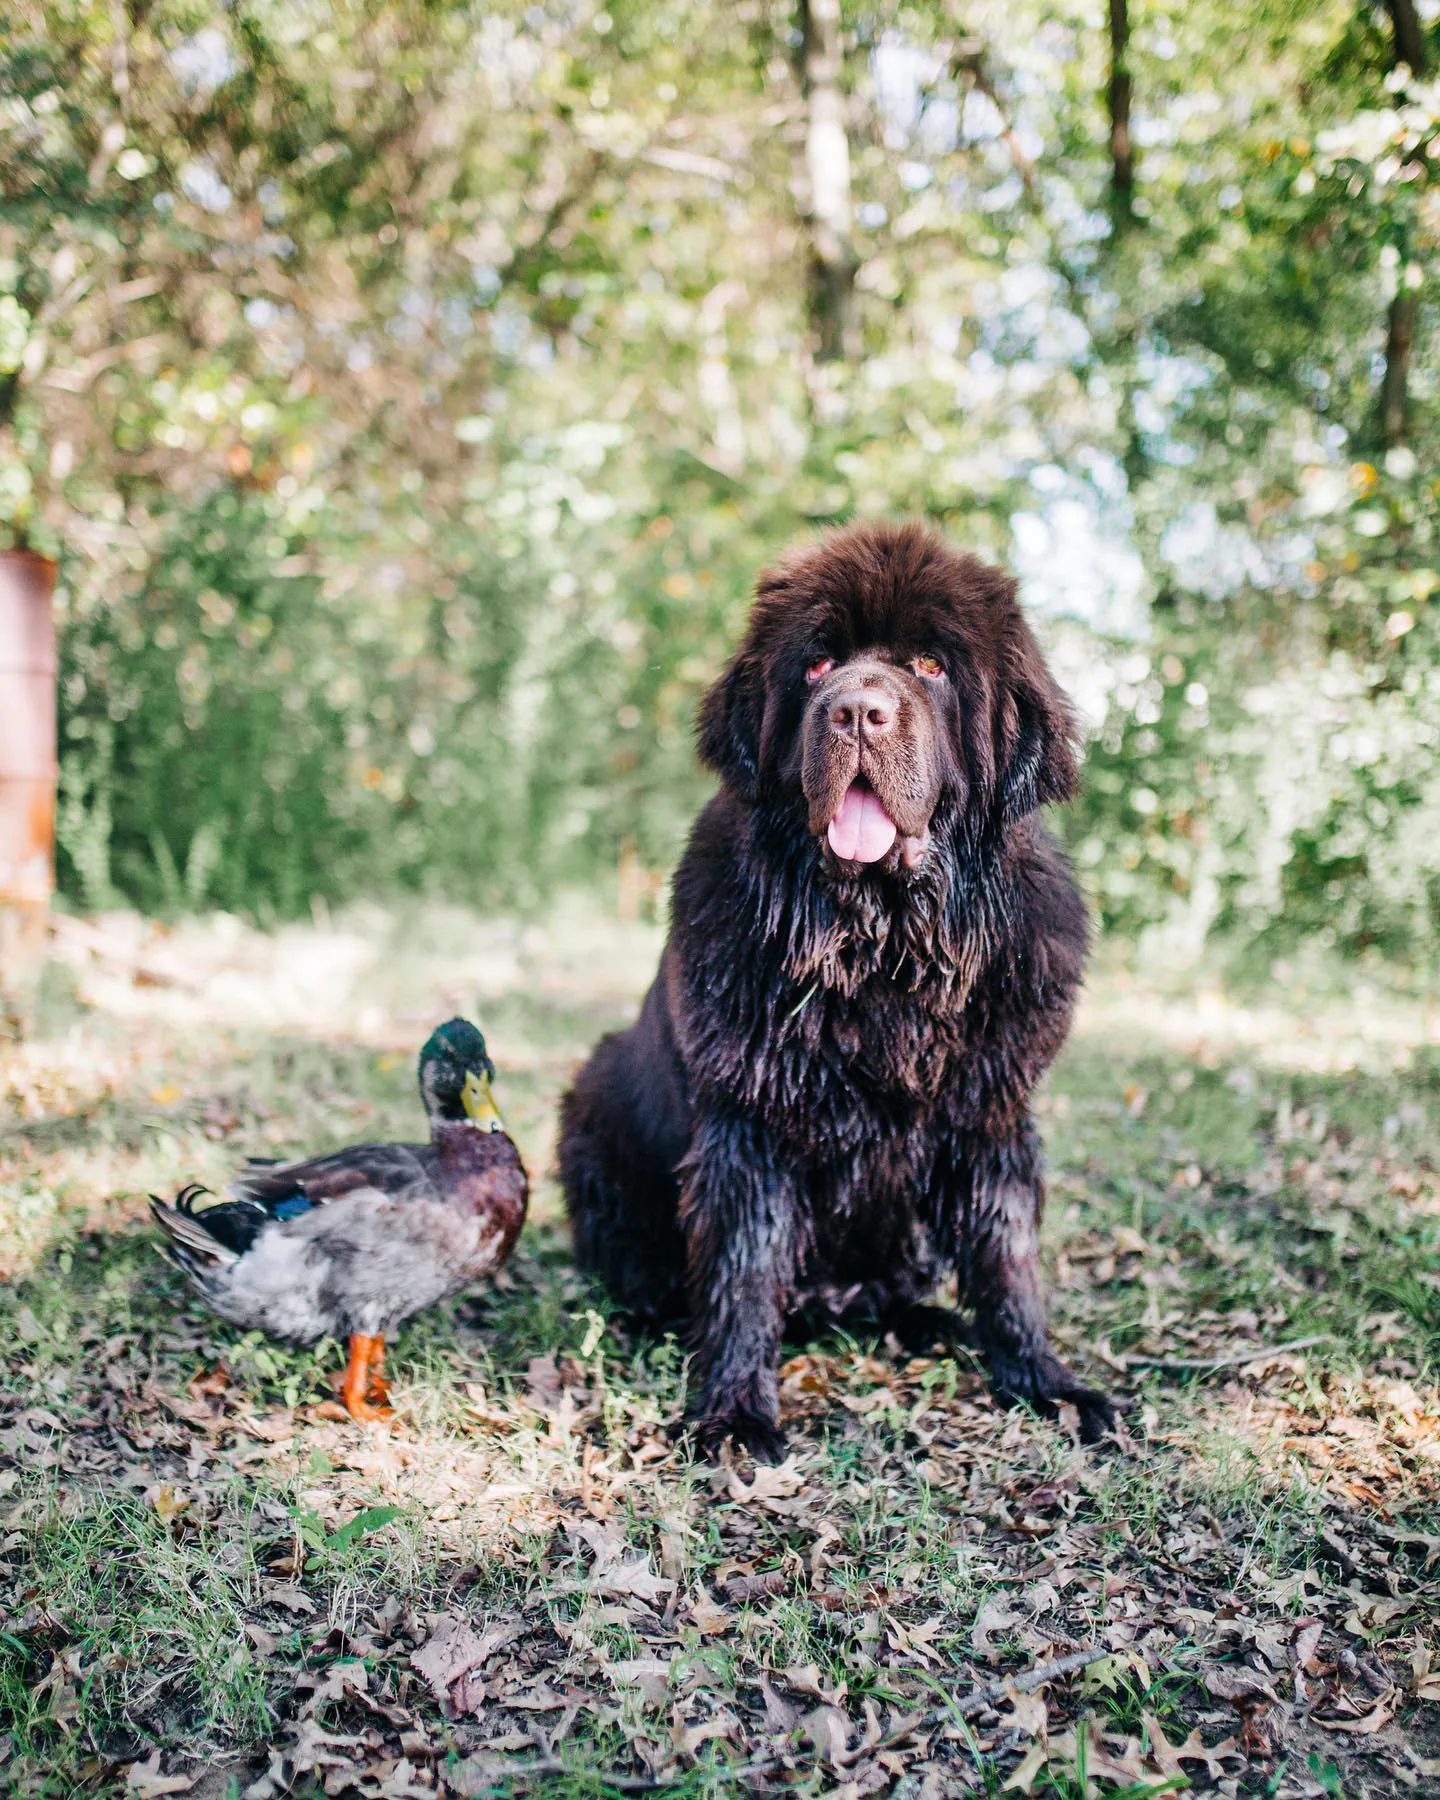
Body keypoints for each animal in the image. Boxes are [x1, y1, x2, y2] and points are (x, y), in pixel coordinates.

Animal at [554, 522, 1116, 1461]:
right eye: (817, 666)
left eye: (931, 665)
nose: (858, 711)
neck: (882, 946)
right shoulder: (749, 1123)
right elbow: (743, 1267)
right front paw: (734, 1411)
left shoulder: (991, 1114)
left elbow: (1007, 1257)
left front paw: (1046, 1381)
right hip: (592, 1101)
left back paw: (930, 1323)